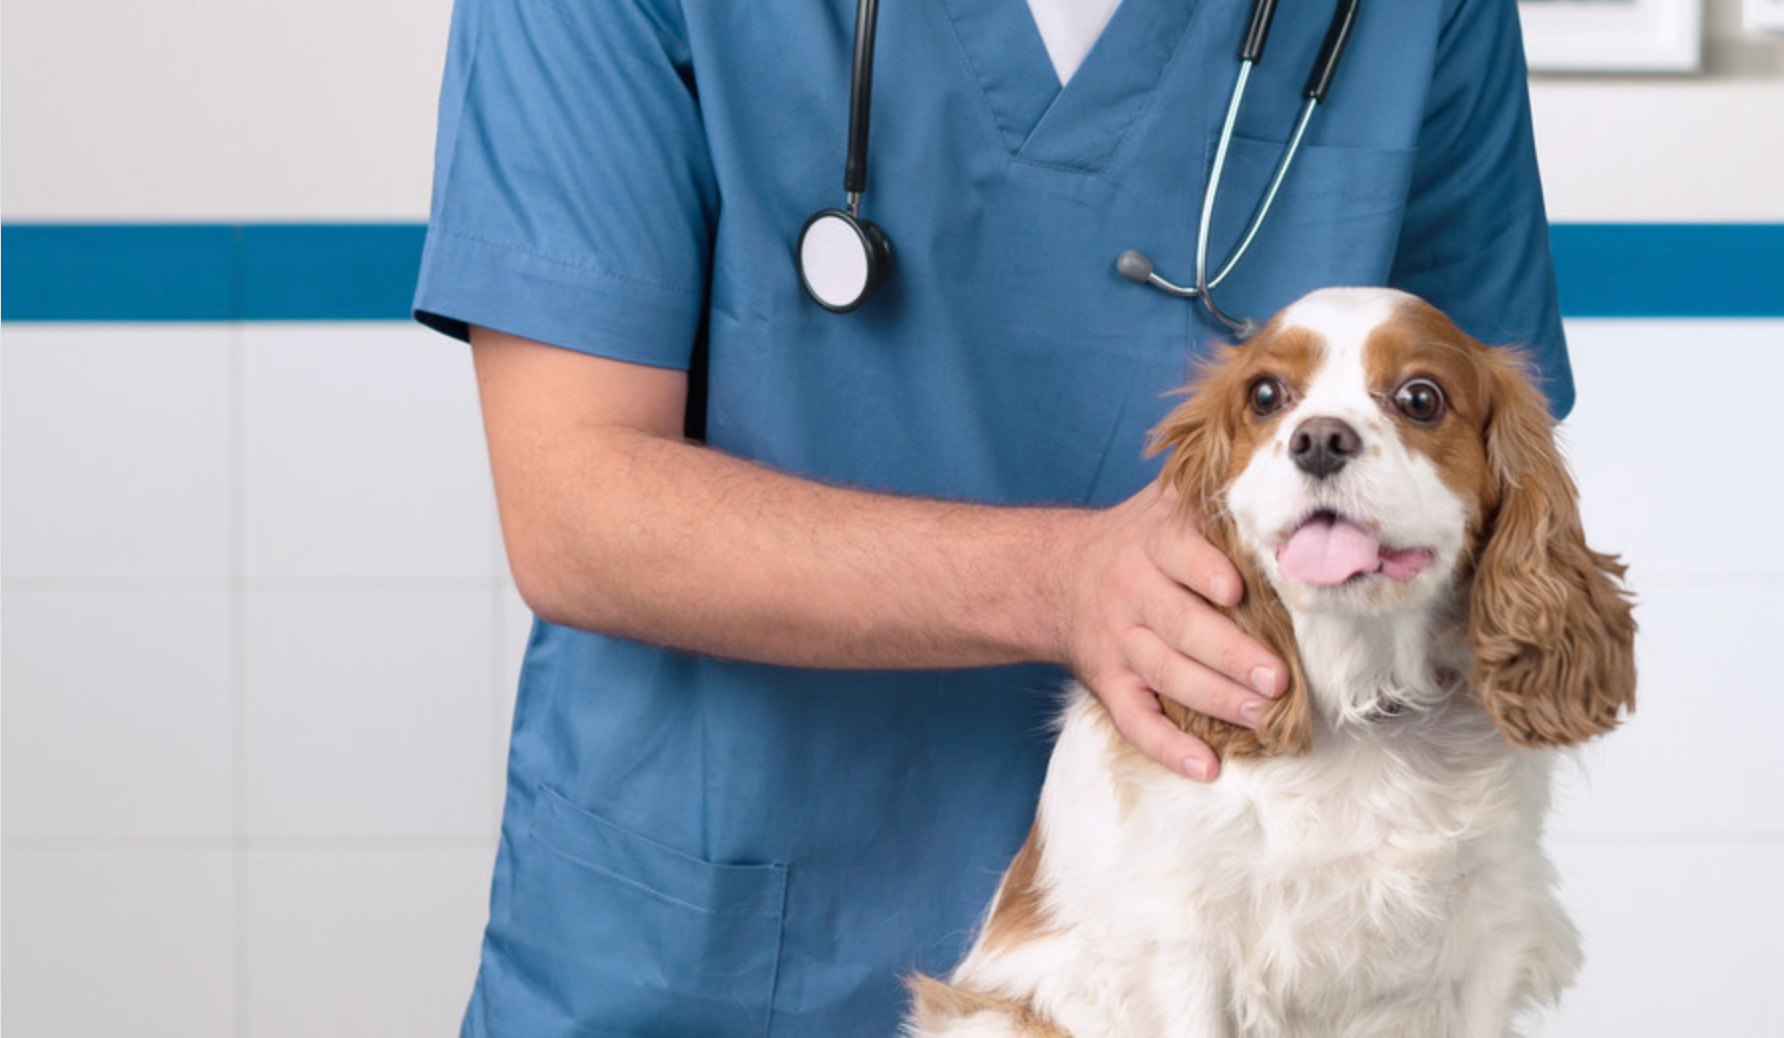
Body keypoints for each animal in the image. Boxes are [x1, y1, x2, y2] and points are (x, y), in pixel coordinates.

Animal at [906, 287, 1634, 1038]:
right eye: (1264, 396)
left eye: (1421, 398)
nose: (1320, 439)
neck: (1360, 695)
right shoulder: (1181, 945)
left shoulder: (1487, 936)